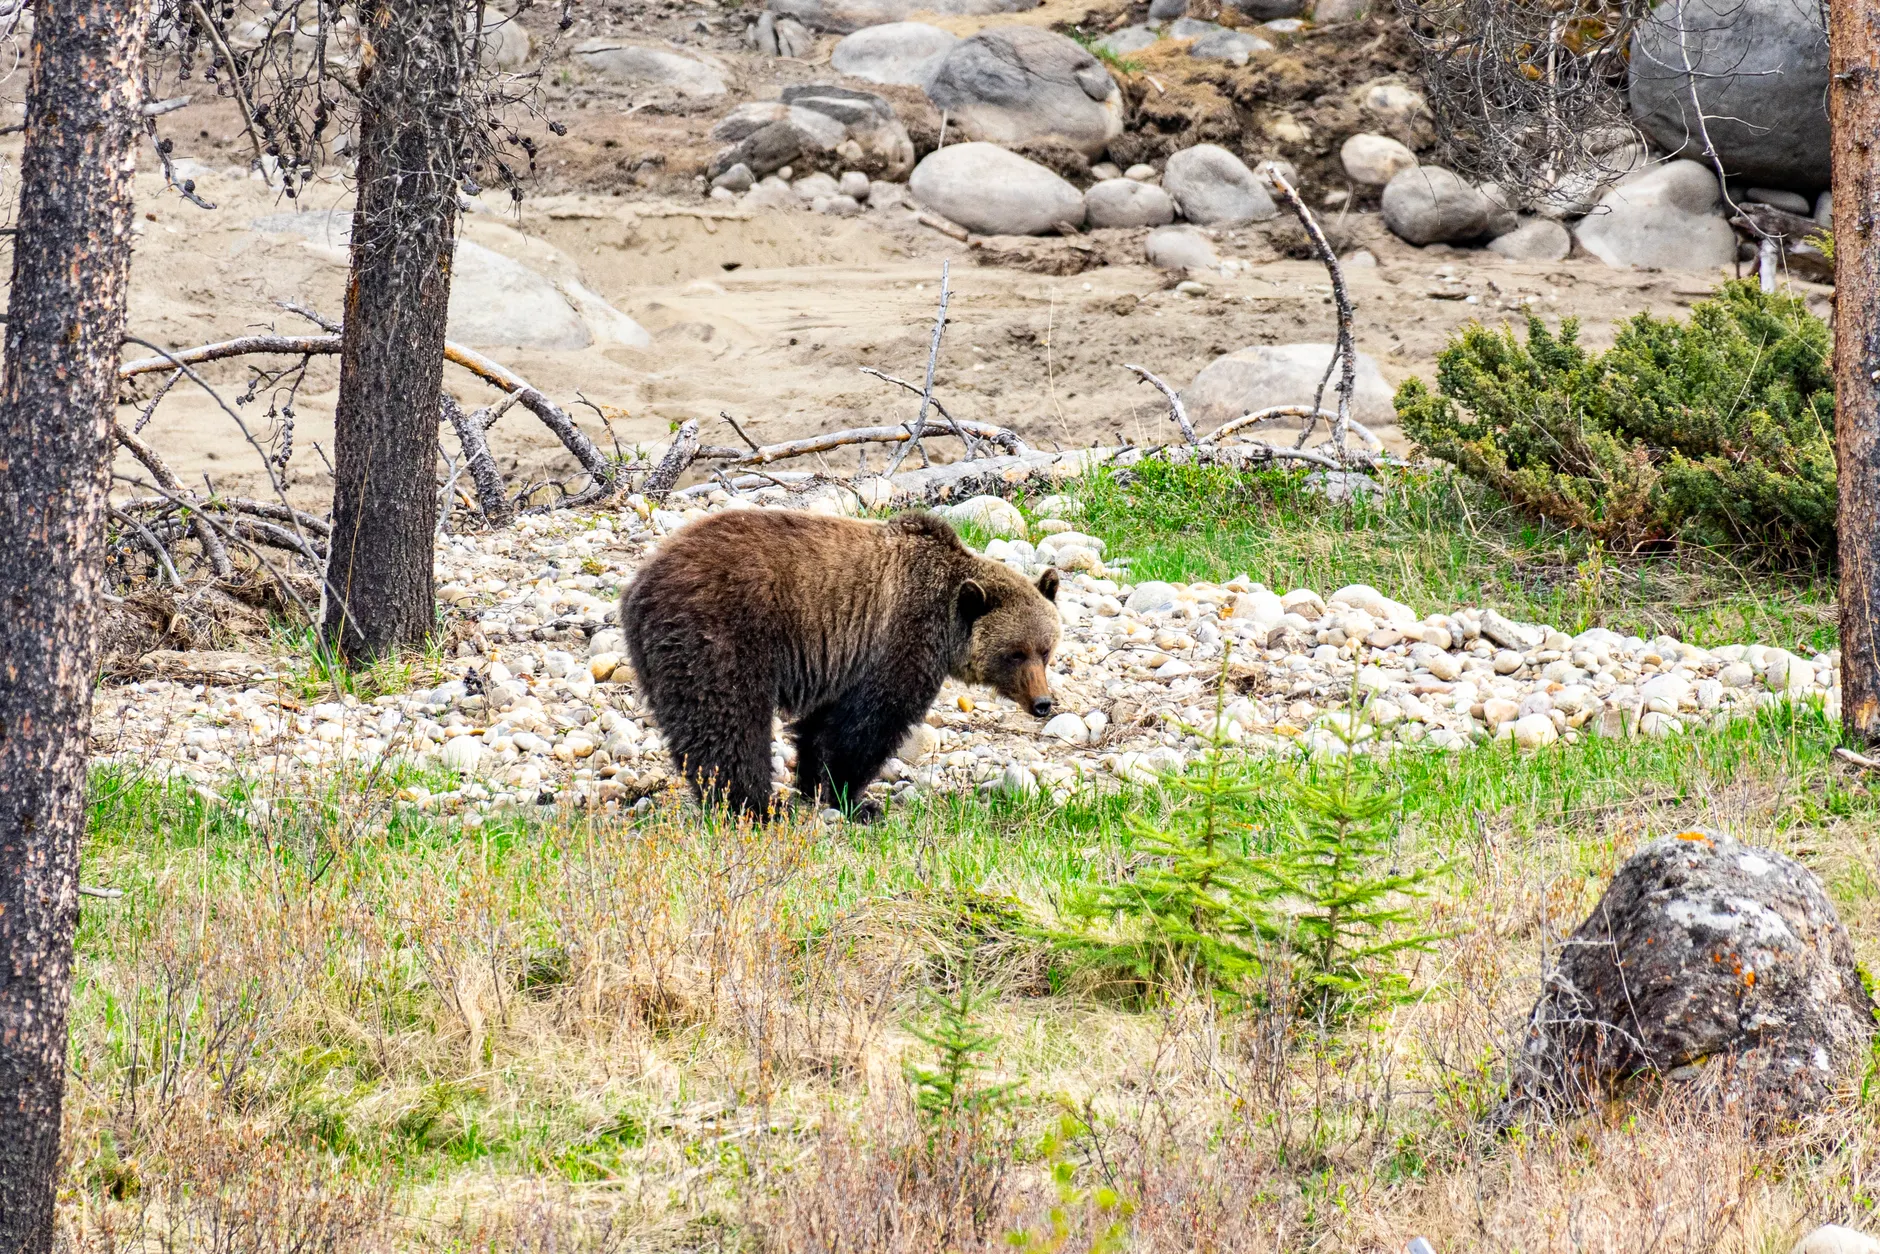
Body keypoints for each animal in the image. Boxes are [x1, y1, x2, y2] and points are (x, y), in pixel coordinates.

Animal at [620, 507, 1060, 818]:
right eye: (1015, 652)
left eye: (1045, 650)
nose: (1043, 703)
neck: (946, 620)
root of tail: (637, 585)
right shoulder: (898, 640)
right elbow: (870, 725)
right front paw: (857, 801)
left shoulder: (842, 657)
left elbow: (821, 725)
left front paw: (814, 784)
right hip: (720, 634)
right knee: (727, 722)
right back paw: (755, 807)